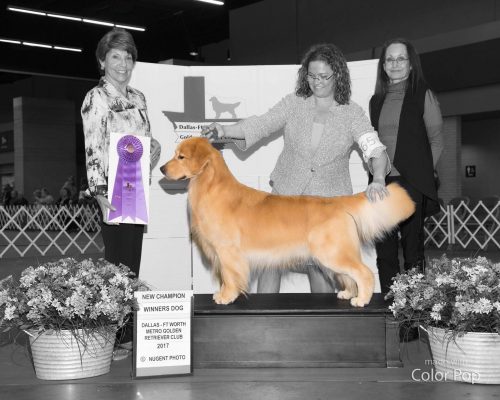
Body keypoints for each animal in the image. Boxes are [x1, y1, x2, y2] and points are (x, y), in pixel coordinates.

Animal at [160, 137, 415, 307]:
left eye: (180, 157)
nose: (161, 168)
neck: (210, 187)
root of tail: (337, 202)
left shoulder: (228, 251)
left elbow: (230, 276)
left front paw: (226, 296)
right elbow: (226, 276)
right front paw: (222, 293)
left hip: (332, 252)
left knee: (364, 272)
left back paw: (361, 299)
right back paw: (348, 293)